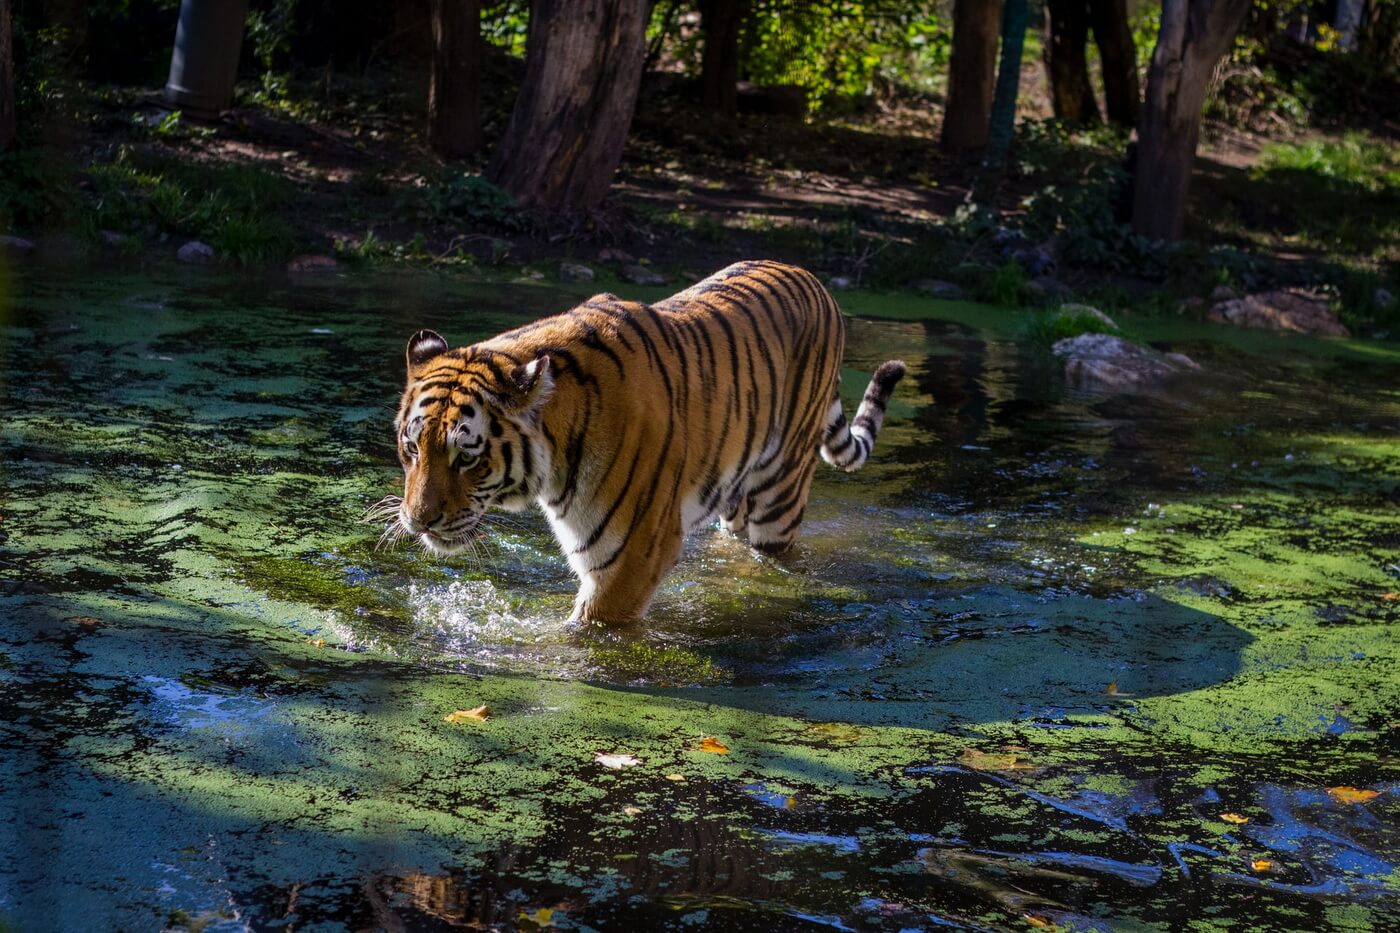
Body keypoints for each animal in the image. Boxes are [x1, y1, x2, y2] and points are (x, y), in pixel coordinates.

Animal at [389, 261, 901, 622]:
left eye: (466, 457)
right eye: (412, 448)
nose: (418, 521)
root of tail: (817, 282)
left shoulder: (632, 555)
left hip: (780, 496)